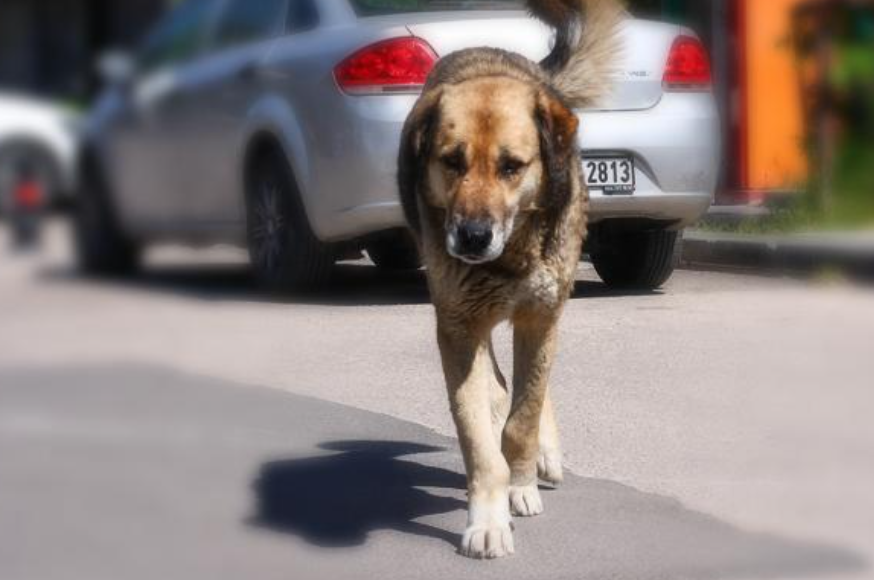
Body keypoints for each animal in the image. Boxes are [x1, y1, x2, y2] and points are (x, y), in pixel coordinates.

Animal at [398, 0, 624, 560]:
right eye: (451, 161)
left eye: (512, 166)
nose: (472, 237)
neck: (509, 258)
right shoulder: (458, 327)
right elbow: (479, 436)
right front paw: (487, 517)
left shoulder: (539, 318)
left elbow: (523, 417)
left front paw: (520, 482)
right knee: (499, 384)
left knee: (530, 390)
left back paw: (542, 454)